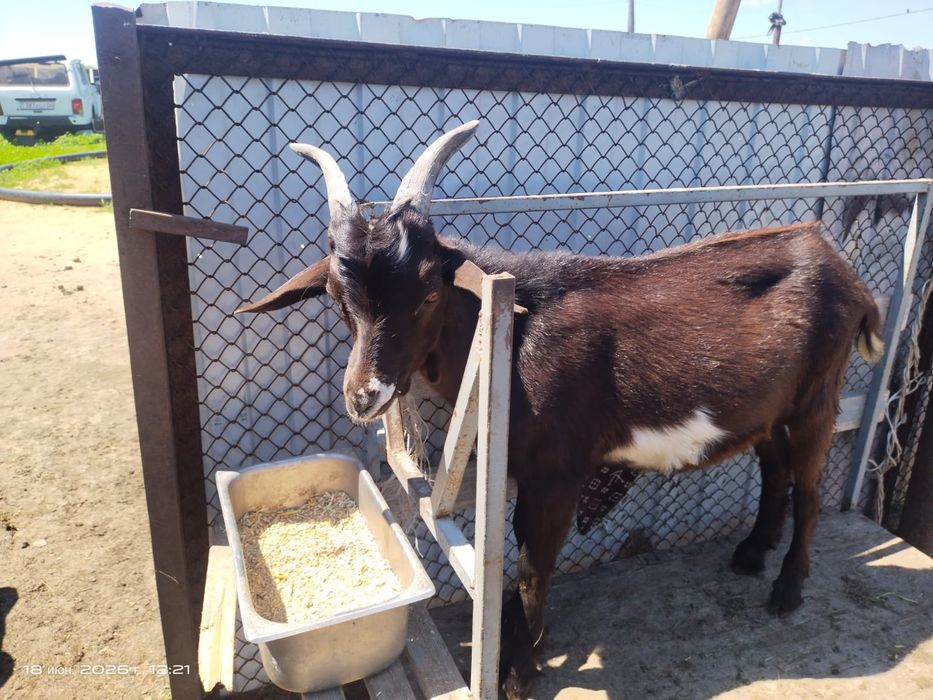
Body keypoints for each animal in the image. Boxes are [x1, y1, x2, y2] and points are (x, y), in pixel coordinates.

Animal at [237, 120, 884, 697]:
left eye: (428, 293)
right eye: (336, 296)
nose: (363, 394)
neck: (512, 330)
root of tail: (840, 264)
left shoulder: (558, 471)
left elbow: (532, 565)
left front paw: (520, 673)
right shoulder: (524, 471)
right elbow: (521, 555)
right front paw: (524, 648)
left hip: (819, 396)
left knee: (809, 485)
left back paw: (787, 591)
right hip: (768, 407)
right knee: (774, 467)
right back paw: (750, 555)